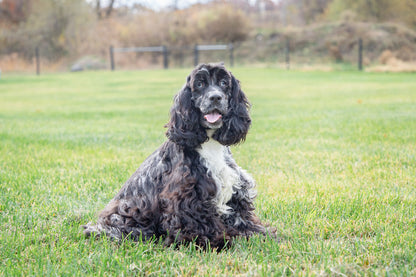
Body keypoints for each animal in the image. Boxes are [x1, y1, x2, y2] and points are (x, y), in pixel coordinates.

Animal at [83, 62, 270, 248]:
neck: (210, 145)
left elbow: (242, 219)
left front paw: (259, 234)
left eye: (224, 83)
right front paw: (216, 242)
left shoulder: (236, 192)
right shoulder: (187, 196)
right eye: (199, 84)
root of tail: (96, 226)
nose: (215, 97)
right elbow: (199, 224)